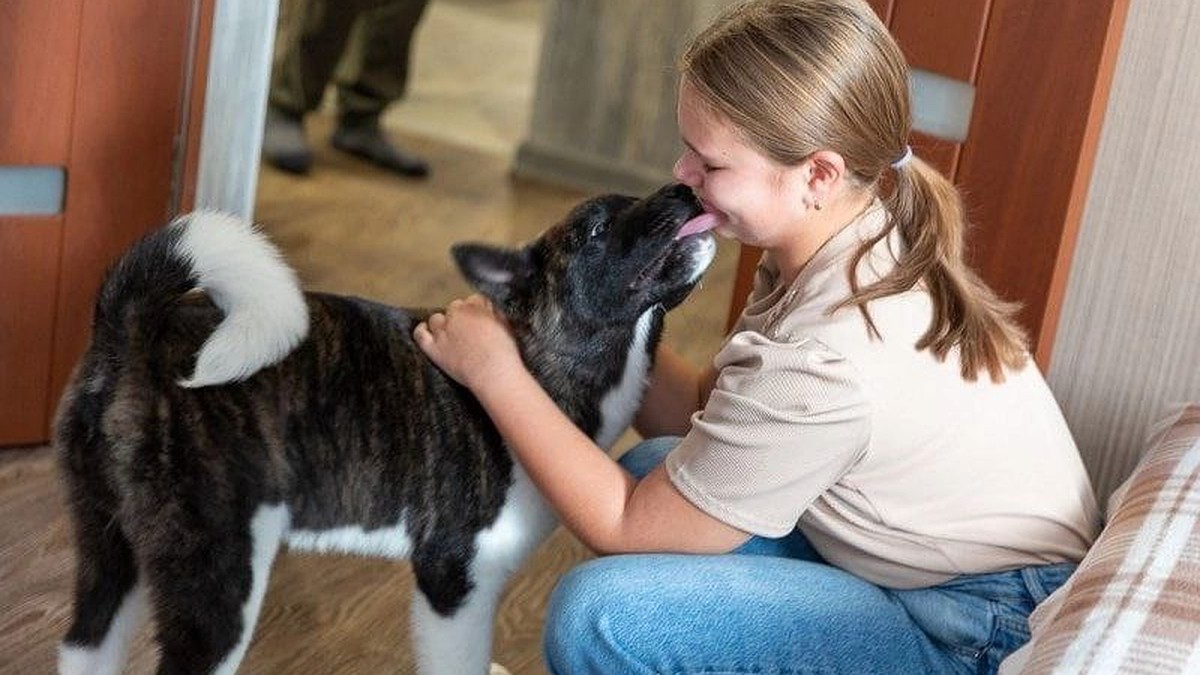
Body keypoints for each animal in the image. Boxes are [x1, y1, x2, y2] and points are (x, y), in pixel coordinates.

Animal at [54, 181, 710, 667]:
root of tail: (131, 329)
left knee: (85, 644)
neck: (531, 363)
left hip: (112, 548)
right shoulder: (455, 585)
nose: (685, 187)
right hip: (219, 584)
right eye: (596, 231)